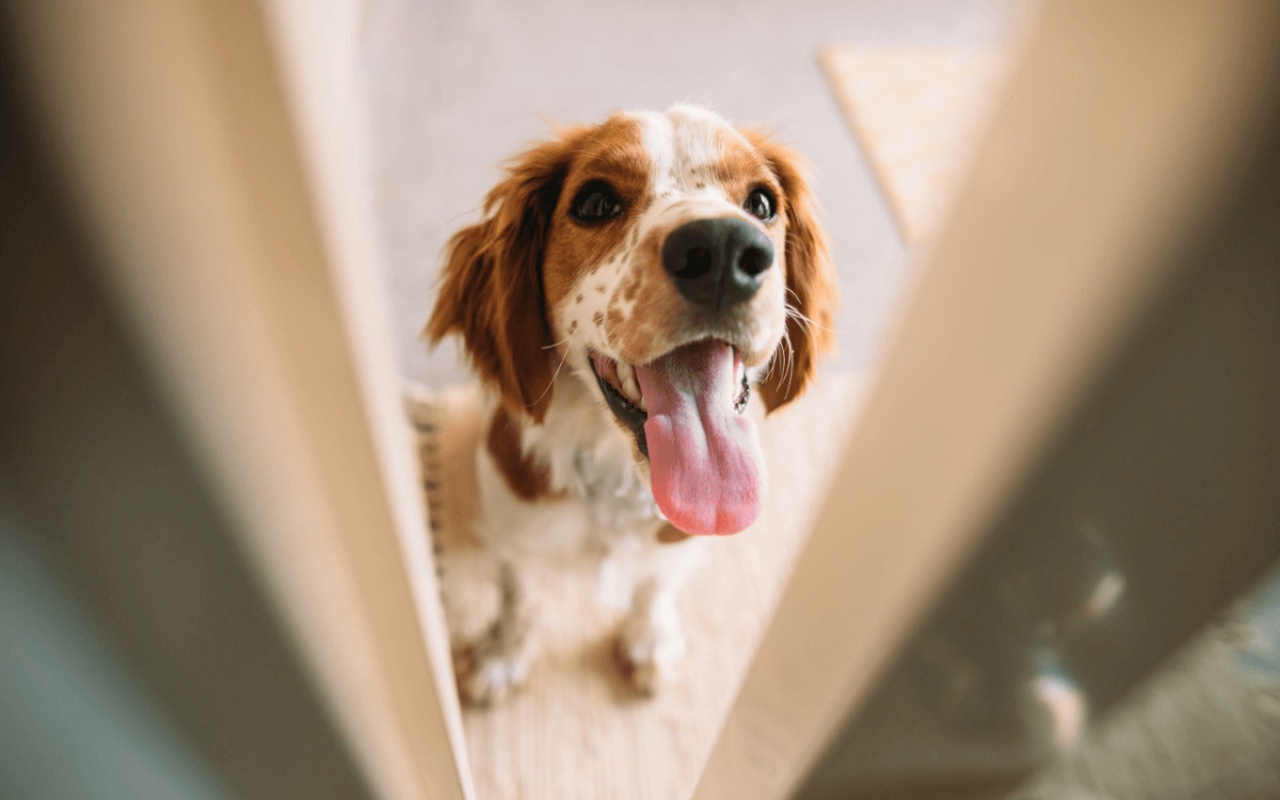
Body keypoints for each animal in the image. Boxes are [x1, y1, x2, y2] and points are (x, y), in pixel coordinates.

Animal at [424, 103, 834, 701]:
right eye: (595, 202)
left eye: (761, 203)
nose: (724, 249)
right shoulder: (515, 525)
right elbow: (518, 596)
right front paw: (502, 655)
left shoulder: (679, 543)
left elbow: (656, 586)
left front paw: (650, 641)